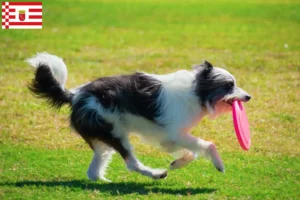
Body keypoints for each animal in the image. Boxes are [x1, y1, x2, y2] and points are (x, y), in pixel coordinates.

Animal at [26, 52, 251, 182]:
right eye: (229, 85)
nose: (248, 96)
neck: (196, 91)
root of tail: (75, 95)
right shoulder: (175, 134)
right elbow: (208, 145)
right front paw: (218, 164)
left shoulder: (169, 137)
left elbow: (190, 152)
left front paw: (178, 163)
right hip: (115, 132)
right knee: (131, 164)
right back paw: (156, 174)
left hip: (104, 138)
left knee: (94, 169)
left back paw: (102, 181)